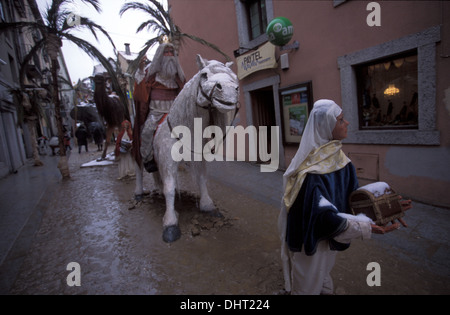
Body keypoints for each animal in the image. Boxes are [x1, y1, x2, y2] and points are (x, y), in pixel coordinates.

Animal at [134, 55, 239, 242]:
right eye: (204, 74)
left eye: (232, 76)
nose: (229, 91)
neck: (183, 129)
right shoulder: (168, 163)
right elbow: (170, 189)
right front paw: (170, 223)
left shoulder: (197, 159)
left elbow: (202, 180)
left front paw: (208, 206)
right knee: (139, 169)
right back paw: (139, 192)